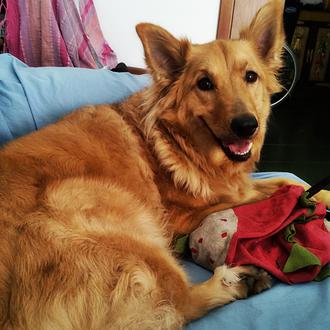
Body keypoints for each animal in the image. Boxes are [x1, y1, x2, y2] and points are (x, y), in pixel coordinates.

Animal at [0, 1, 330, 328]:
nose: (247, 126)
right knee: (180, 304)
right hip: (117, 219)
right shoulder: (185, 217)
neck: (179, 143)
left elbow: (290, 182)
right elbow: (273, 192)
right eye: (204, 84)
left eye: (251, 76)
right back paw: (238, 282)